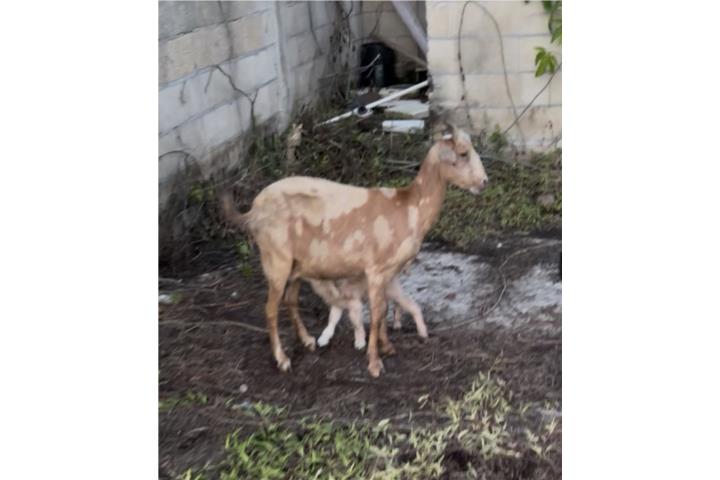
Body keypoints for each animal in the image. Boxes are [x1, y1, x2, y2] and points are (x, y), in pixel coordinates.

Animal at [221, 124, 488, 377]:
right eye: (463, 153)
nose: (484, 182)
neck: (410, 208)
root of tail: (252, 212)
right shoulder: (376, 269)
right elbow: (377, 313)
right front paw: (374, 364)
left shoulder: (388, 273)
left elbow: (383, 309)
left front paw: (386, 347)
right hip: (276, 259)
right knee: (270, 310)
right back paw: (282, 359)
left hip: (297, 265)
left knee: (290, 300)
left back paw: (307, 341)